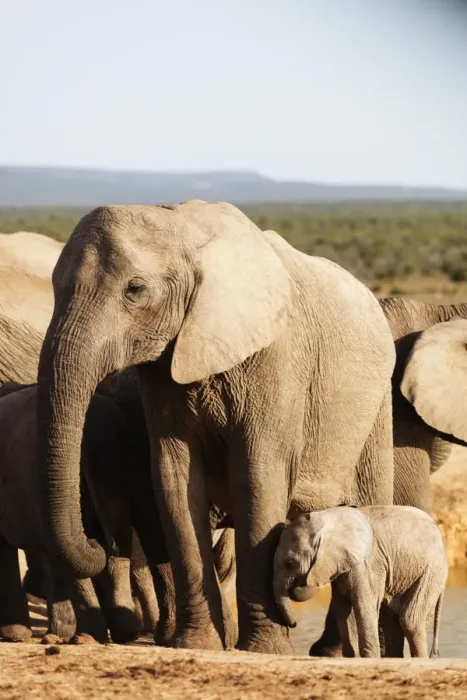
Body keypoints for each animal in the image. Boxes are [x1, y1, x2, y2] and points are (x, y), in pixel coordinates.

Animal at [36, 200, 396, 654]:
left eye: (135, 289)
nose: (100, 541)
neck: (183, 225)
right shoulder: (164, 368)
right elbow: (174, 479)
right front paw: (196, 645)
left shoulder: (276, 358)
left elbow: (257, 477)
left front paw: (263, 650)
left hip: (376, 408)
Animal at [274, 505, 447, 658]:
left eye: (290, 563)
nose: (294, 624)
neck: (326, 518)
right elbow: (341, 607)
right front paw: (351, 656)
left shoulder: (366, 563)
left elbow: (363, 605)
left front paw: (370, 658)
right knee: (392, 621)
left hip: (432, 570)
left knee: (410, 620)